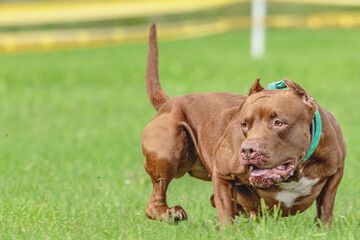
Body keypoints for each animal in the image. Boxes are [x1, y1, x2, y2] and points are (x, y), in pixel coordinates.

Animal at [141, 24, 346, 227]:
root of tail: (168, 103)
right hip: (169, 150)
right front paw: (228, 231)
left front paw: (325, 229)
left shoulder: (335, 172)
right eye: (244, 124)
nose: (248, 150)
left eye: (279, 123)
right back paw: (171, 213)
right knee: (155, 200)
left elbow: (326, 207)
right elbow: (225, 209)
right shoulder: (222, 172)